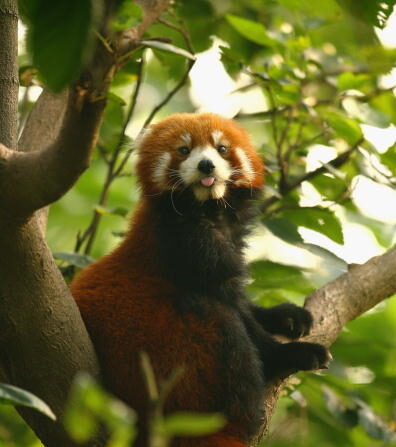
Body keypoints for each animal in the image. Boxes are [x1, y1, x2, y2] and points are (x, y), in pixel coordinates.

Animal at [72, 114, 332, 447]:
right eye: (184, 150)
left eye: (221, 148)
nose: (206, 165)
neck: (208, 210)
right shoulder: (186, 243)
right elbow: (236, 312)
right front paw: (290, 353)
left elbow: (243, 302)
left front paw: (285, 316)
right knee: (217, 319)